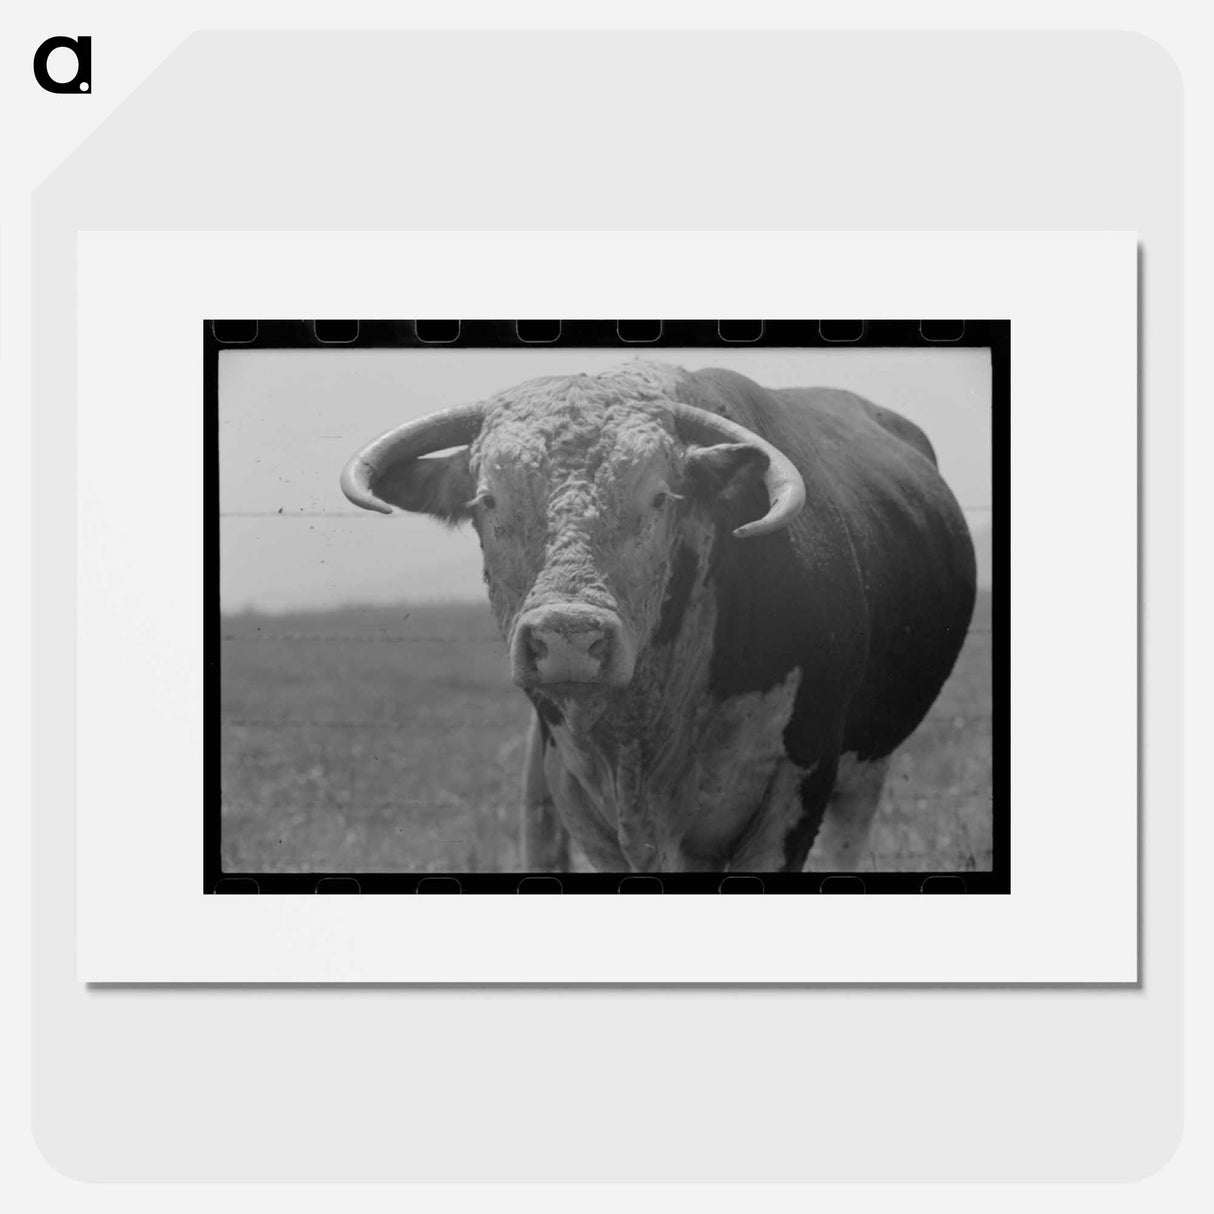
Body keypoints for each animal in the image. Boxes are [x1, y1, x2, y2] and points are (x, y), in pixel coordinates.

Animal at [341, 361, 976, 873]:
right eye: (488, 500)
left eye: (658, 498)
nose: (568, 638)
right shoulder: (582, 804)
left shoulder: (800, 784)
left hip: (865, 769)